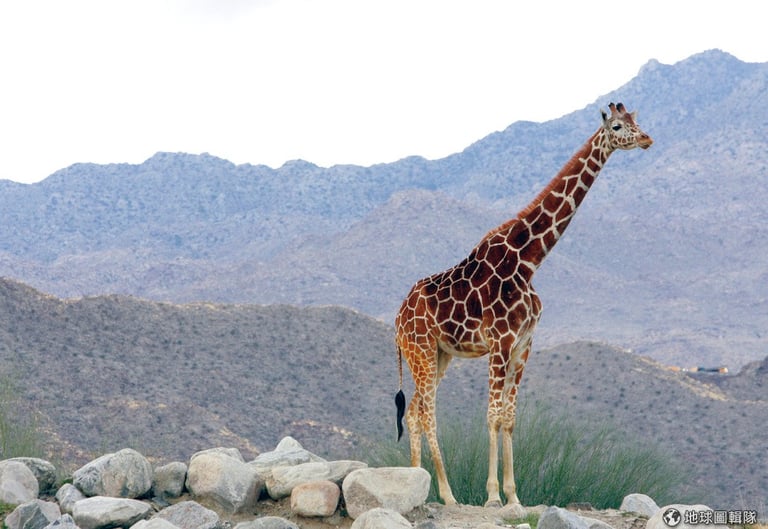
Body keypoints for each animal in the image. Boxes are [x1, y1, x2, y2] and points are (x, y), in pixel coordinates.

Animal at [394, 102, 653, 506]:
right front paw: (492, 496)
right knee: (427, 413)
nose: (647, 139)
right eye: (617, 126)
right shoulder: (499, 342)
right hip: (419, 349)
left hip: (438, 354)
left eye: (636, 121)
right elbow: (492, 415)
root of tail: (397, 318)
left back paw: (419, 481)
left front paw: (514, 496)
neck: (529, 260)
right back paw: (448, 495)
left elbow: (510, 417)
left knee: (415, 413)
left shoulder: (523, 345)